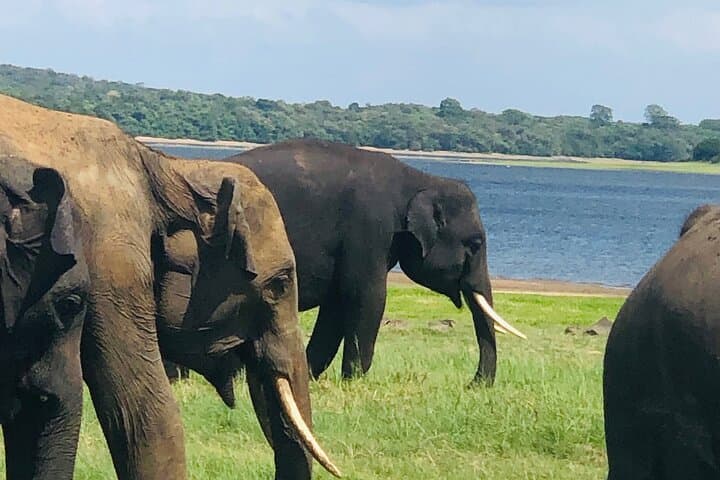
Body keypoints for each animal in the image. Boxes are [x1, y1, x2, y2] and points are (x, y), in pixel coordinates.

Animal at [216, 139, 522, 385]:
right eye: (475, 244)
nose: (473, 385)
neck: (419, 180)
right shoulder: (370, 228)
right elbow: (368, 297)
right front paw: (353, 381)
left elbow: (336, 306)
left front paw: (312, 376)